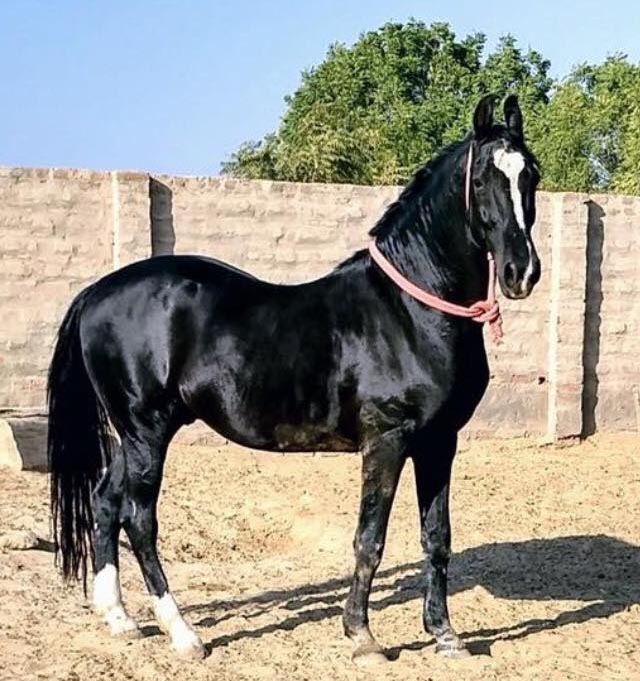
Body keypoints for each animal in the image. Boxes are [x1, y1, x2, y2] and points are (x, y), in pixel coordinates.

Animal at [48, 95, 540, 664]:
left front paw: (445, 635)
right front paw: (362, 637)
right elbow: (369, 538)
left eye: (531, 175)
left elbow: (437, 537)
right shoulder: (388, 441)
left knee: (106, 503)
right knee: (138, 519)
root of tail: (96, 293)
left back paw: (120, 618)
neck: (410, 311)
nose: (522, 272)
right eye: (481, 179)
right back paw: (183, 634)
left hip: (132, 436)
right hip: (147, 431)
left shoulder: (439, 443)